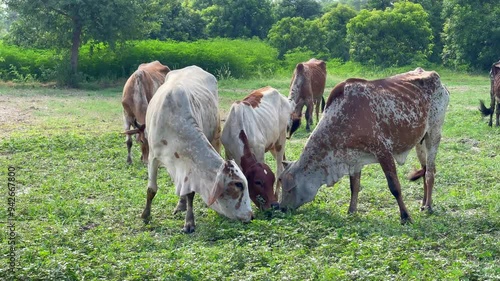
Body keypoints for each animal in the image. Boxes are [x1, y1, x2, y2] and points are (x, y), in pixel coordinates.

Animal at [141, 65, 254, 232]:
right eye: (238, 184)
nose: (251, 215)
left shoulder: (190, 167)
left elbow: (189, 193)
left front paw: (189, 222)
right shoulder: (153, 157)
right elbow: (151, 189)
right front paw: (146, 215)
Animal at [280, 67, 452, 223]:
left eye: (290, 188)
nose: (280, 207)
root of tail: (437, 79)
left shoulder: (383, 152)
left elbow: (395, 187)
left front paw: (405, 216)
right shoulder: (354, 158)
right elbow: (354, 187)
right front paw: (351, 211)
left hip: (434, 134)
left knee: (429, 173)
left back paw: (428, 206)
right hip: (419, 142)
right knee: (425, 169)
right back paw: (423, 203)